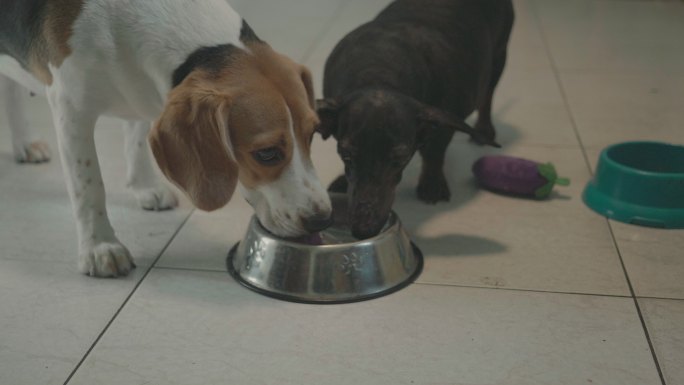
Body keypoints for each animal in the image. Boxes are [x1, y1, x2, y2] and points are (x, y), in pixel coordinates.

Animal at [0, 0, 332, 276]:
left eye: (312, 135)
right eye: (266, 153)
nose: (322, 218)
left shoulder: (138, 91)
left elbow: (136, 138)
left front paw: (146, 186)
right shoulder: (71, 111)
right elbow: (89, 186)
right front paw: (101, 247)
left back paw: (25, 143)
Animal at [316, 0, 512, 238]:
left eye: (400, 158)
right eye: (346, 155)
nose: (363, 230)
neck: (379, 71)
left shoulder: (442, 126)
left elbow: (434, 153)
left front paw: (432, 184)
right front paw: (342, 181)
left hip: (499, 55)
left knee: (487, 96)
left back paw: (484, 130)